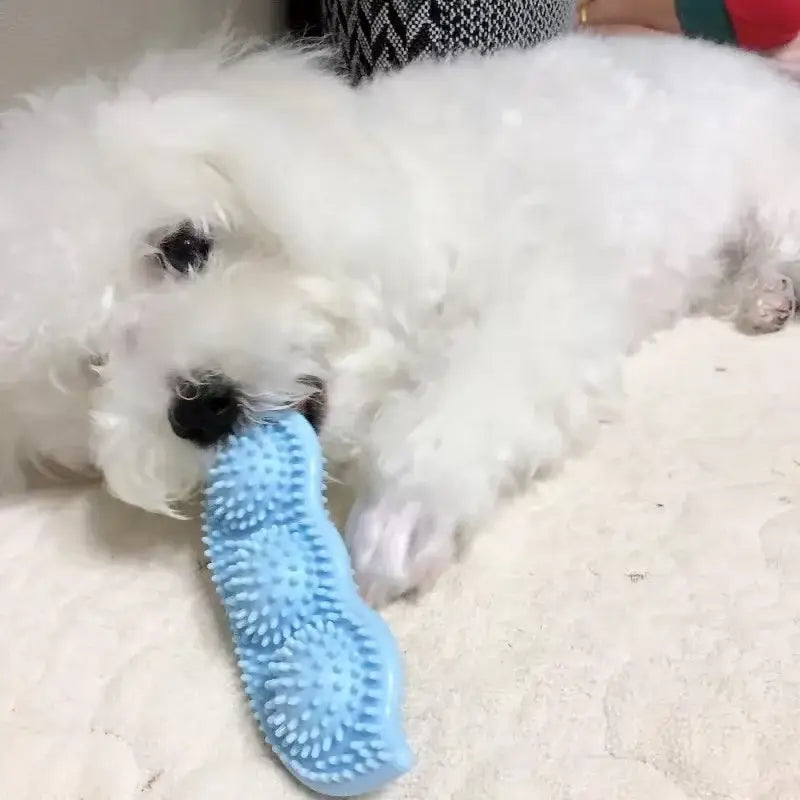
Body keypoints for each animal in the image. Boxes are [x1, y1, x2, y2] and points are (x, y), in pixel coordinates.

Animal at [1, 34, 800, 604]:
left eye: (183, 246)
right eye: (91, 363)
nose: (198, 406)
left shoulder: (539, 299)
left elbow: (466, 398)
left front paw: (400, 518)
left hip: (773, 183)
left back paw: (774, 288)